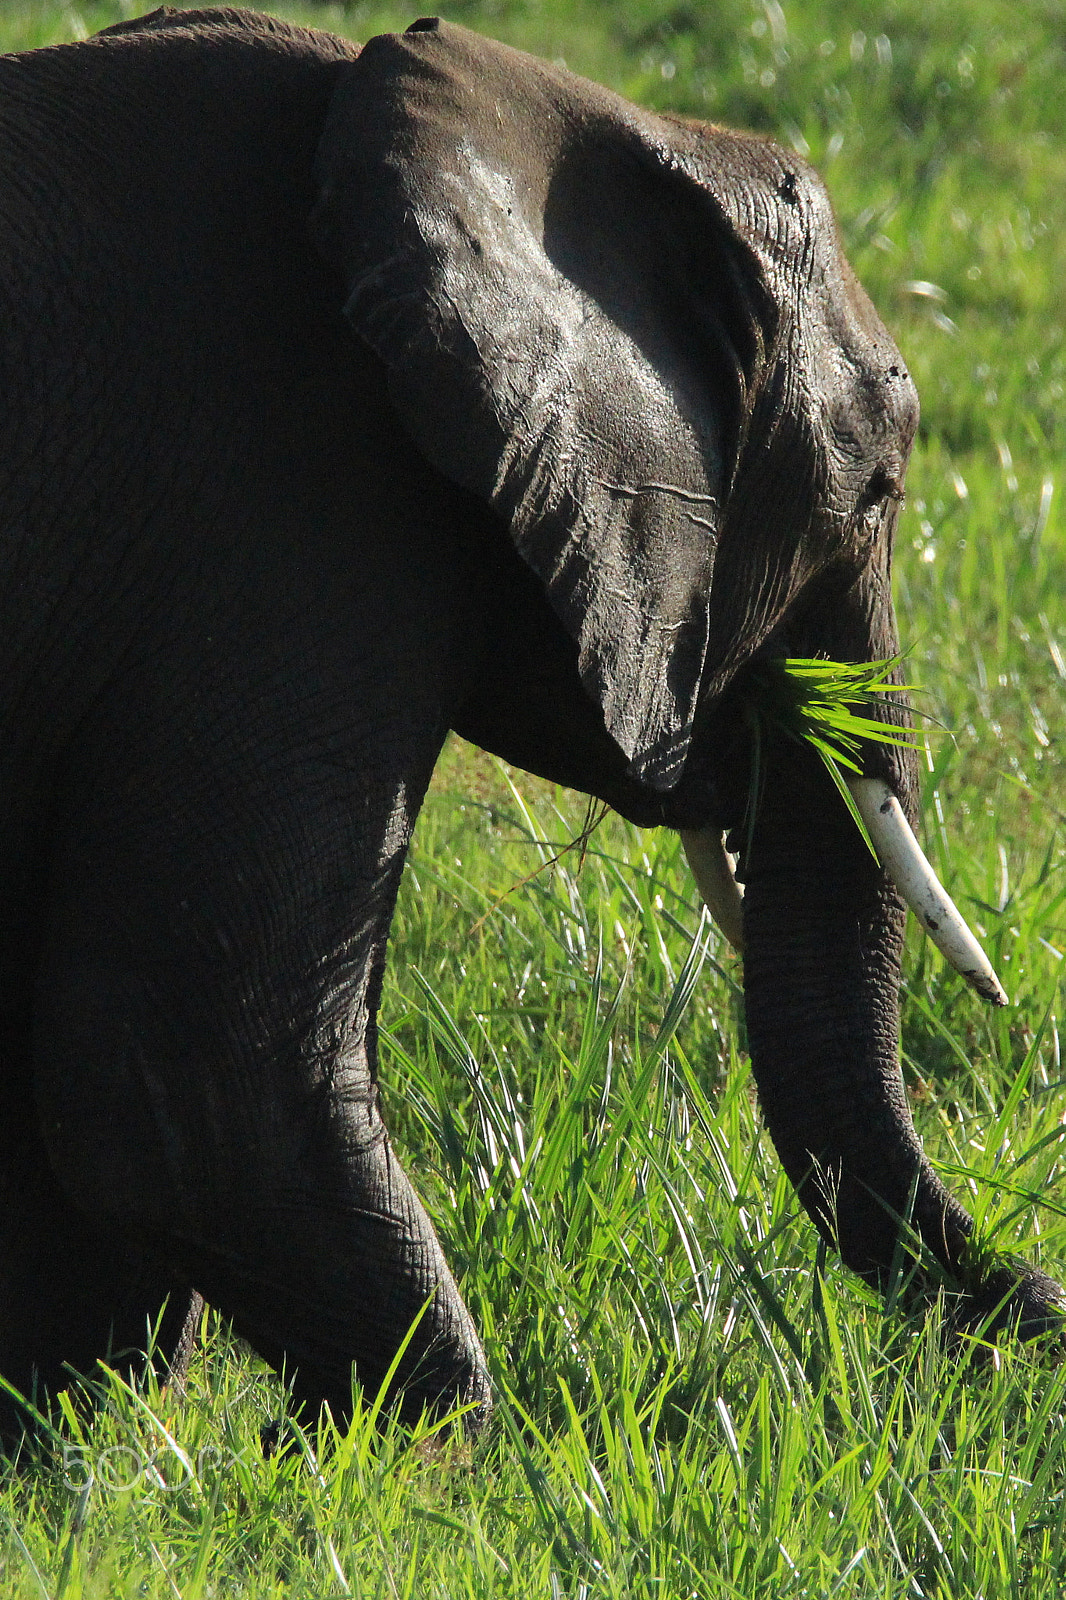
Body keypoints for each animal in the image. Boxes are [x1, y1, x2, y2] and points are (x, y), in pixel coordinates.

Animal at [0, 6, 1060, 1442]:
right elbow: (185, 1072)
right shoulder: (292, 513)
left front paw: (103, 1455)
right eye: (881, 489)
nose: (1040, 1297)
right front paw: (412, 1462)